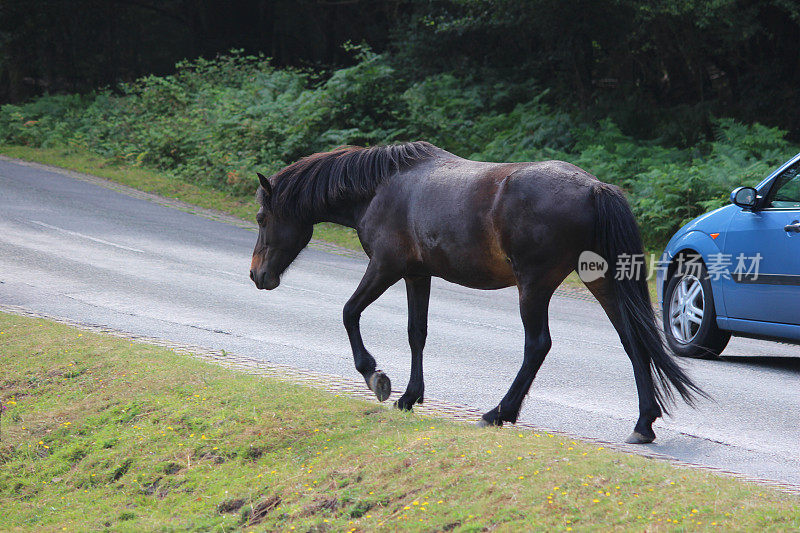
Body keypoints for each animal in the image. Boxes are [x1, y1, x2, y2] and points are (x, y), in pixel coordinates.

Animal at [248, 140, 700, 440]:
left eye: (261, 217)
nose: (256, 276)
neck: (381, 188)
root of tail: (593, 187)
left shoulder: (384, 267)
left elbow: (348, 312)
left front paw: (375, 376)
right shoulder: (417, 275)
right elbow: (417, 333)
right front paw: (410, 396)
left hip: (534, 287)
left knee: (537, 345)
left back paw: (499, 412)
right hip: (602, 281)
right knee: (633, 341)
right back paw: (643, 424)